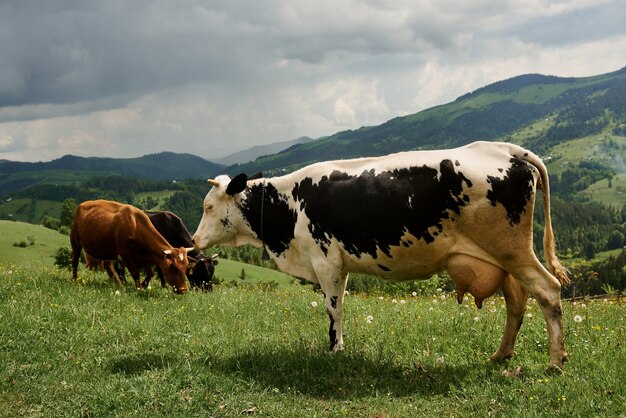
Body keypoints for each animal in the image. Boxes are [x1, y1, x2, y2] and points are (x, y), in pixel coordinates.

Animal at [193, 143, 568, 370]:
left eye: (208, 206)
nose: (194, 241)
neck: (288, 204)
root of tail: (507, 149)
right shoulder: (340, 264)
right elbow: (341, 304)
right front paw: (339, 345)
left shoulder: (325, 259)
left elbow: (333, 308)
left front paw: (334, 350)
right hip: (504, 259)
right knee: (518, 302)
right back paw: (501, 355)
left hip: (512, 251)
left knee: (548, 290)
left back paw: (555, 361)